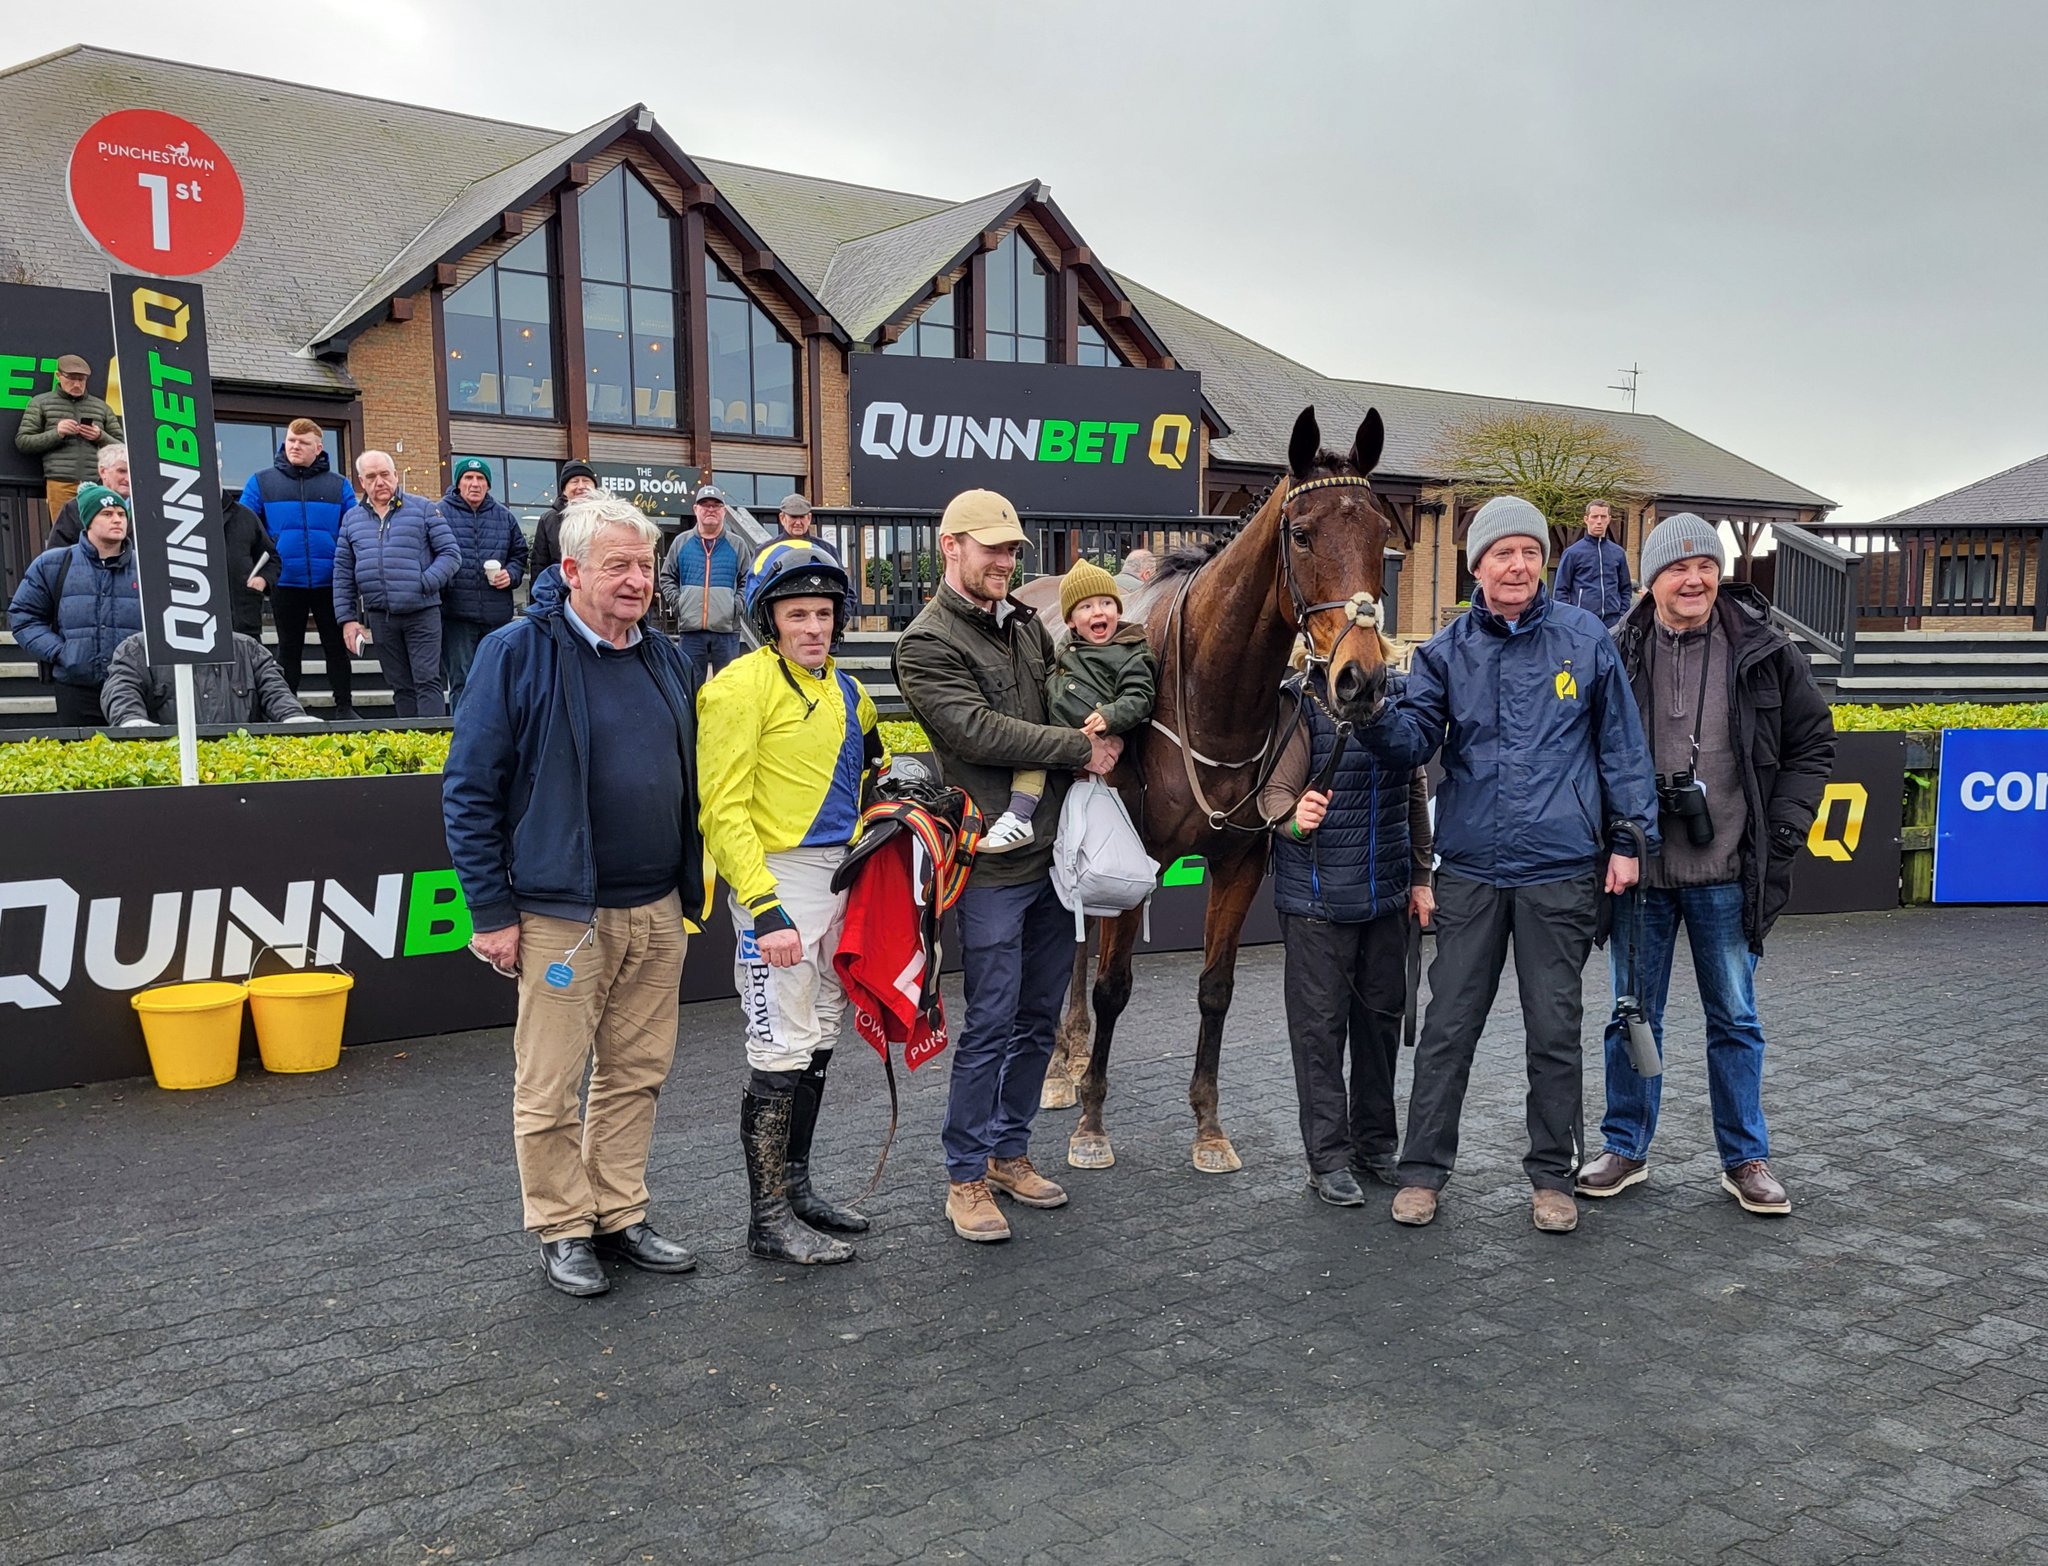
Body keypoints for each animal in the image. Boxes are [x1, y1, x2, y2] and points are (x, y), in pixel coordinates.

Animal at [1048, 409, 1400, 1170]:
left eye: (1378, 534)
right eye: (1303, 534)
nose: (1360, 680)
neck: (1207, 692)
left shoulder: (1241, 860)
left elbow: (1216, 989)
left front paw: (1208, 1125)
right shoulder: (1137, 857)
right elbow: (1114, 986)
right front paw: (1092, 1121)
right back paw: (1064, 1065)